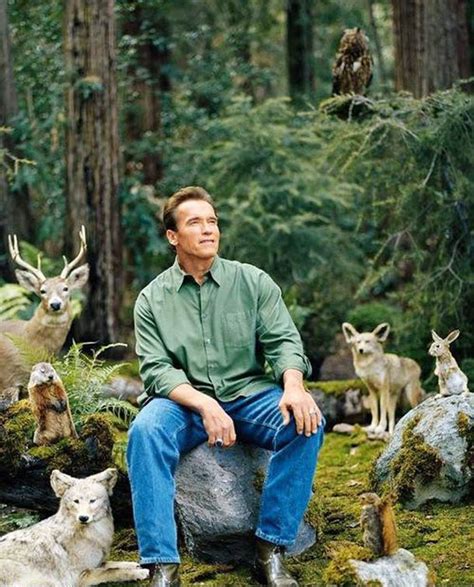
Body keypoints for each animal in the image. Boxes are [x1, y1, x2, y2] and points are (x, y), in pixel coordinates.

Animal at [0, 466, 149, 584]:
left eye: (92, 501)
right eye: (76, 501)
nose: (83, 518)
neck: (92, 534)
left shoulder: (97, 563)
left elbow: (111, 564)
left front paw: (134, 564)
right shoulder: (81, 575)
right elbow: (113, 571)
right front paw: (139, 573)